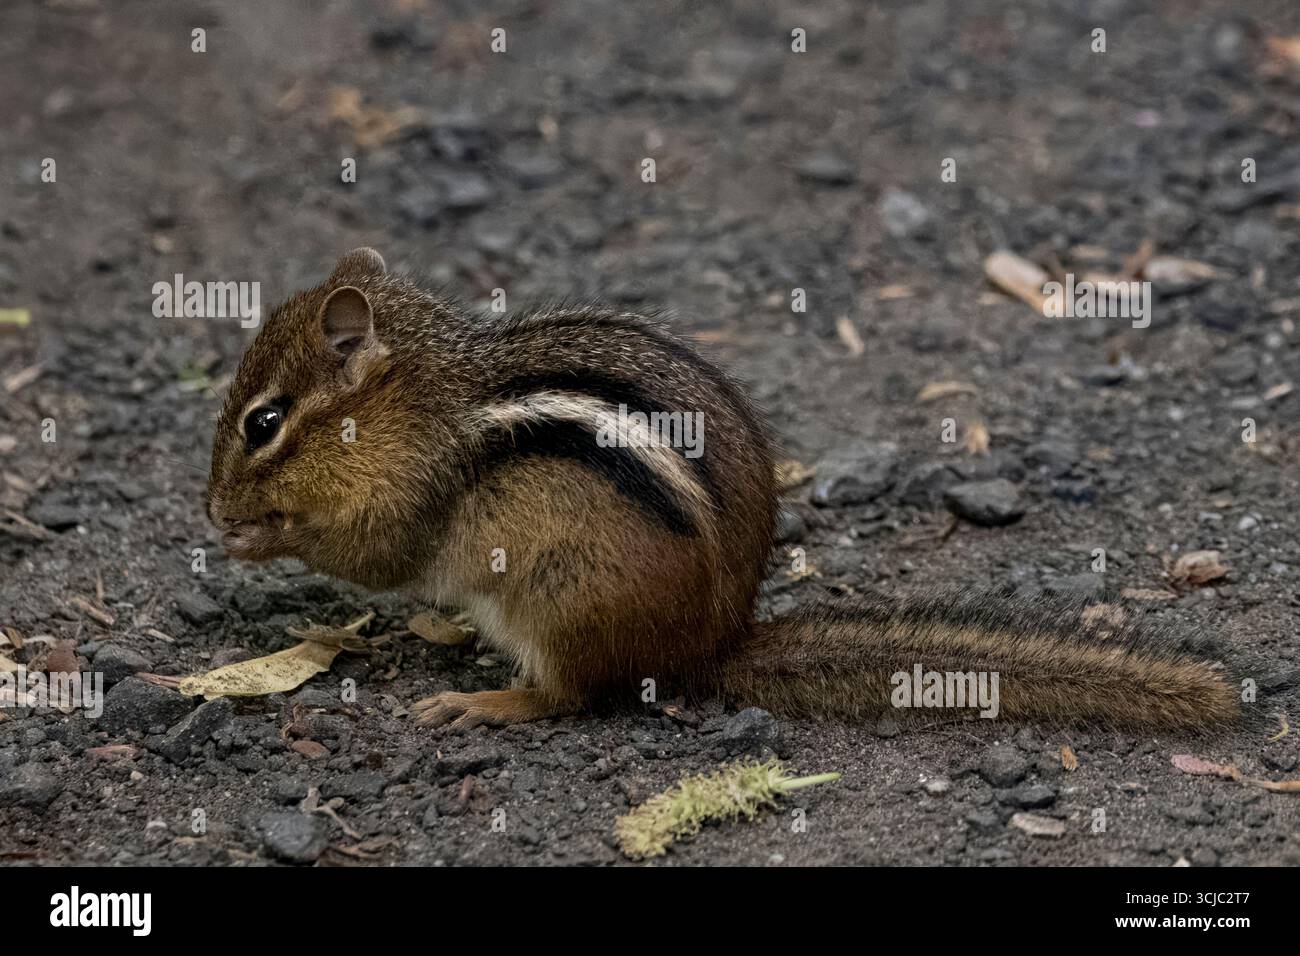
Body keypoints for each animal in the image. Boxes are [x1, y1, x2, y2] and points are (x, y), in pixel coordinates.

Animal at [205, 248, 1240, 733]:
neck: (413, 392)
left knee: (569, 697)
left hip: (557, 601)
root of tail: (710, 642)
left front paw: (258, 535)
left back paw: (488, 702)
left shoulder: (412, 490)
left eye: (263, 422)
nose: (213, 508)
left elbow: (377, 552)